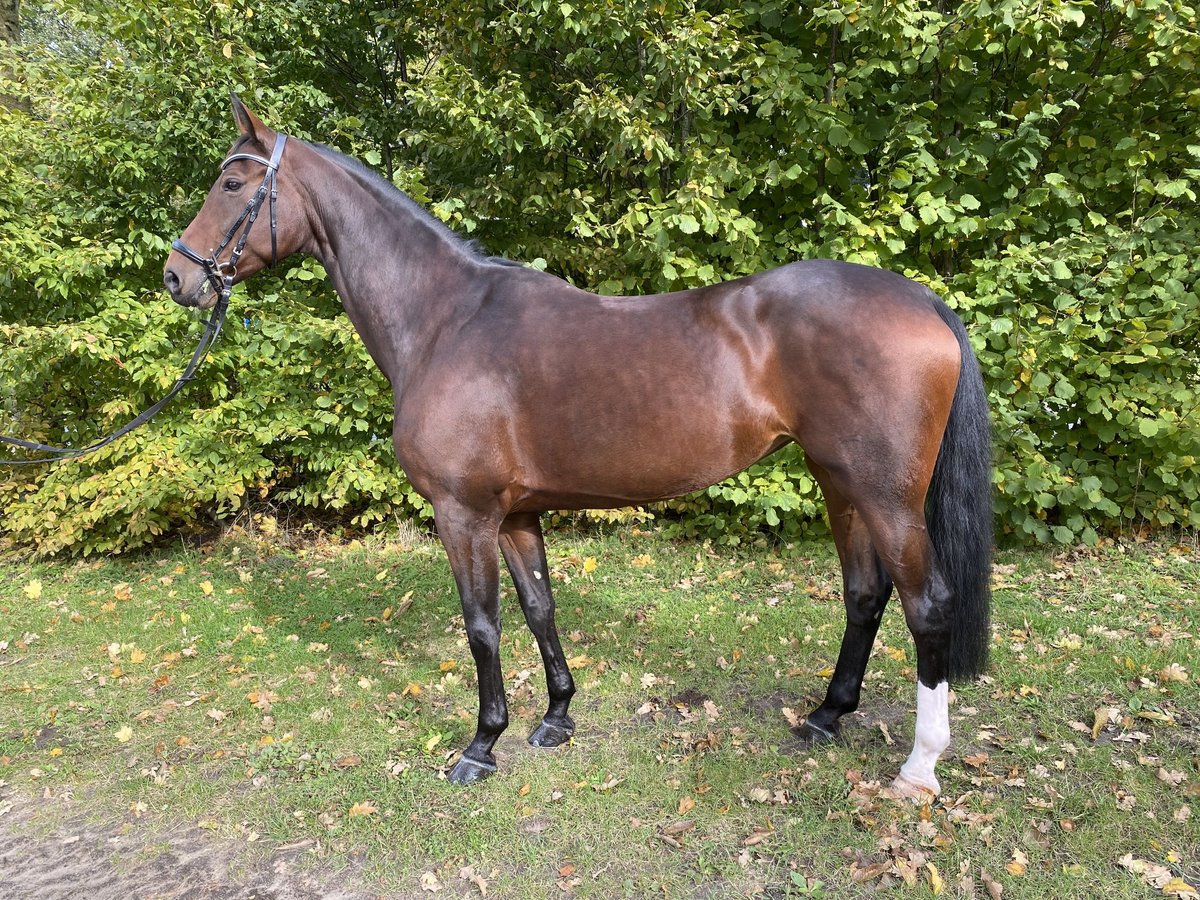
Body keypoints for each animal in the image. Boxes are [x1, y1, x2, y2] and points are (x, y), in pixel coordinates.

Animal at [166, 97, 993, 801]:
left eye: (232, 182)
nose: (177, 275)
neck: (445, 321)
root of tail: (922, 300)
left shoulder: (462, 514)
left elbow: (482, 625)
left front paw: (480, 746)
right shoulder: (515, 513)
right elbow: (539, 607)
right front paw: (556, 716)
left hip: (886, 495)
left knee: (926, 605)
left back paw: (919, 768)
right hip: (838, 481)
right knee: (865, 595)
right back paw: (825, 716)